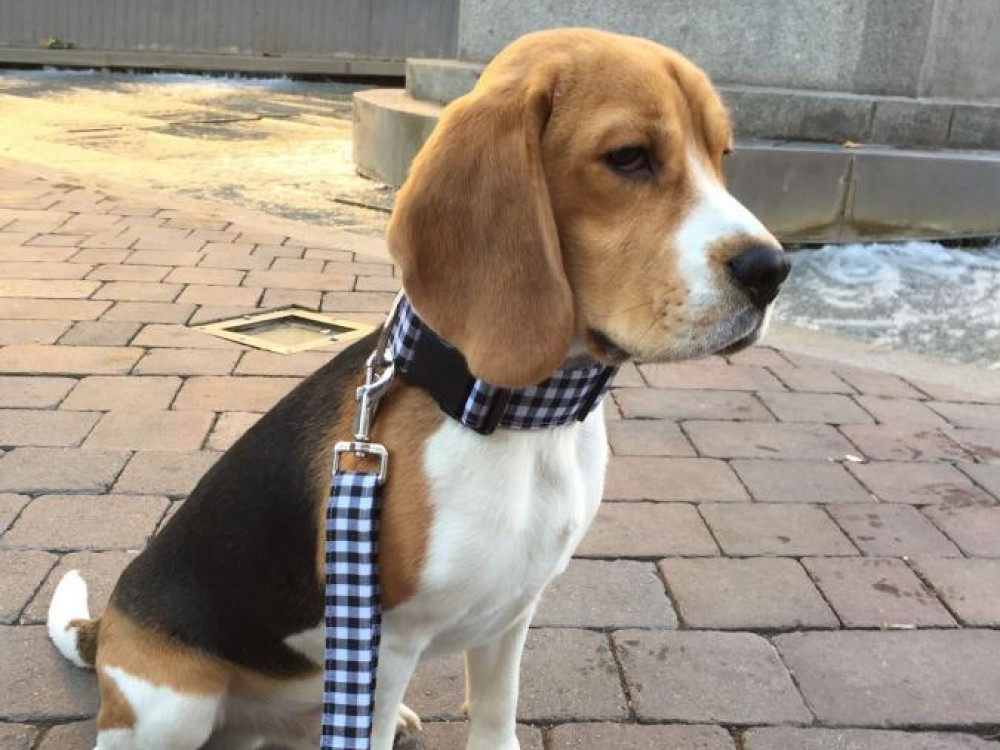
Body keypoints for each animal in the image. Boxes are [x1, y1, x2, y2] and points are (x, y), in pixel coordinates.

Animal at [48, 27, 788, 750]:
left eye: (723, 155)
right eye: (629, 157)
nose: (773, 270)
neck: (528, 417)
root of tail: (107, 629)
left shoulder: (511, 617)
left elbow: (494, 718)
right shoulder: (385, 646)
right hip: (176, 706)